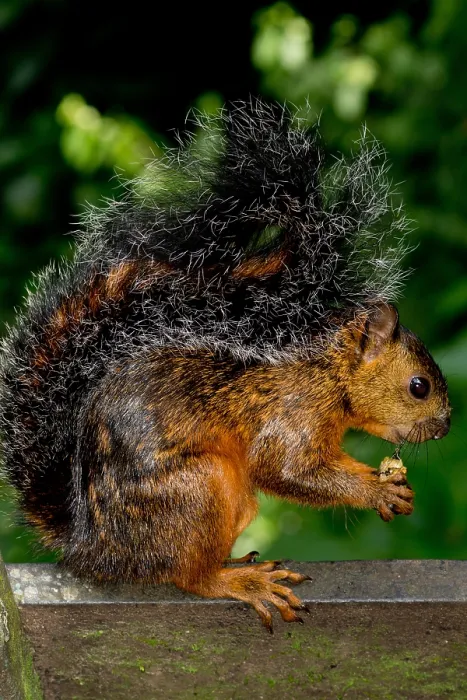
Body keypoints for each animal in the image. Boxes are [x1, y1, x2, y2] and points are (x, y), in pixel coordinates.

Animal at [0, 99, 451, 631]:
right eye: (419, 386)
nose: (444, 427)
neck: (330, 369)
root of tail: (91, 548)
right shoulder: (296, 408)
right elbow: (285, 468)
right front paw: (375, 490)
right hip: (197, 490)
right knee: (190, 577)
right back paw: (241, 581)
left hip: (232, 501)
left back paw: (238, 562)